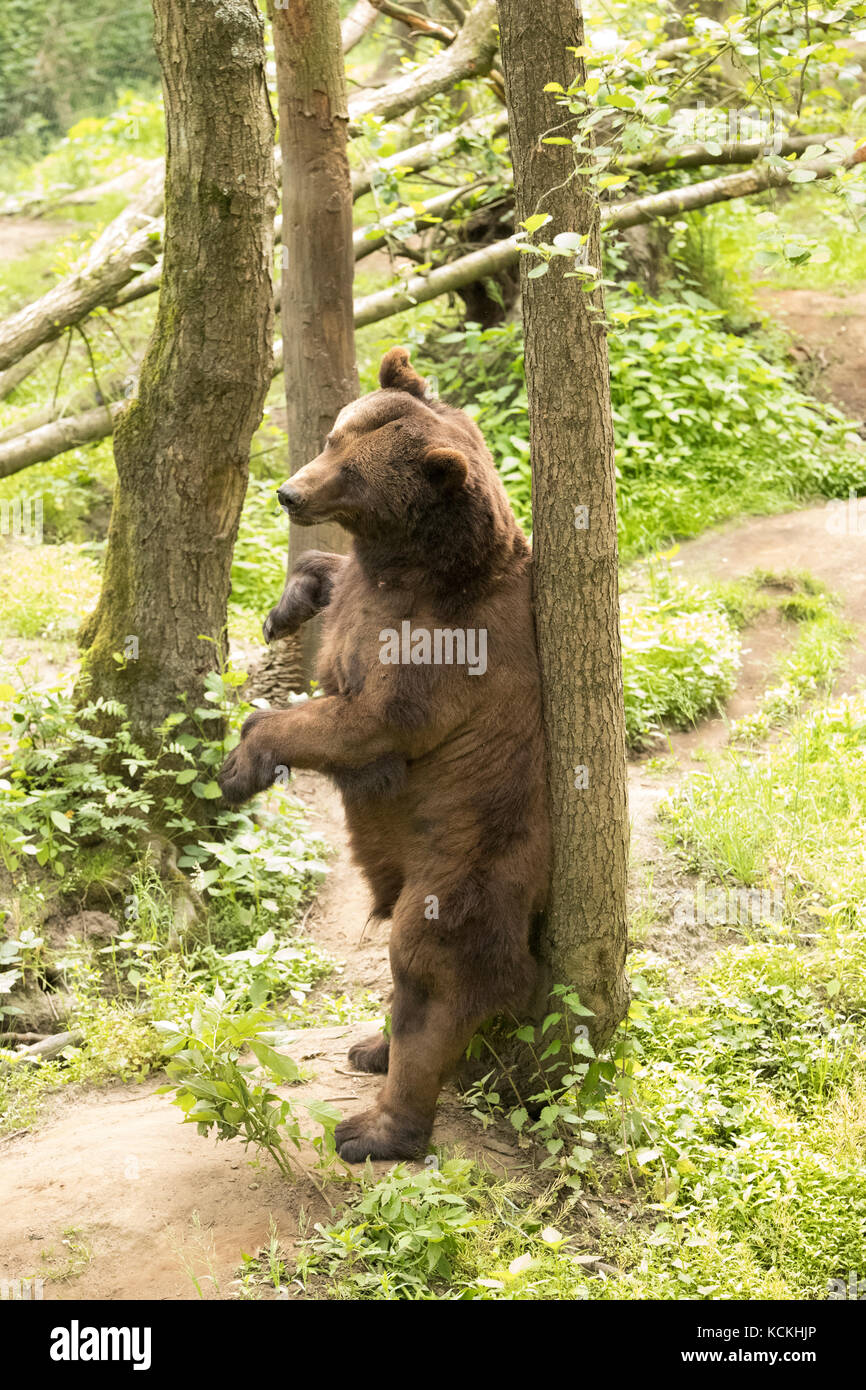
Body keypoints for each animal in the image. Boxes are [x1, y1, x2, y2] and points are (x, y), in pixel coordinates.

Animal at [218, 346, 550, 1162]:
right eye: (334, 436)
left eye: (355, 472)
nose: (289, 492)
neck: (419, 564)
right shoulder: (369, 594)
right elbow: (332, 583)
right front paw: (284, 606)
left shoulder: (442, 651)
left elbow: (365, 722)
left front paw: (242, 764)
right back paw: (369, 1046)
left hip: (468, 857)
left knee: (431, 971)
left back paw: (375, 1125)